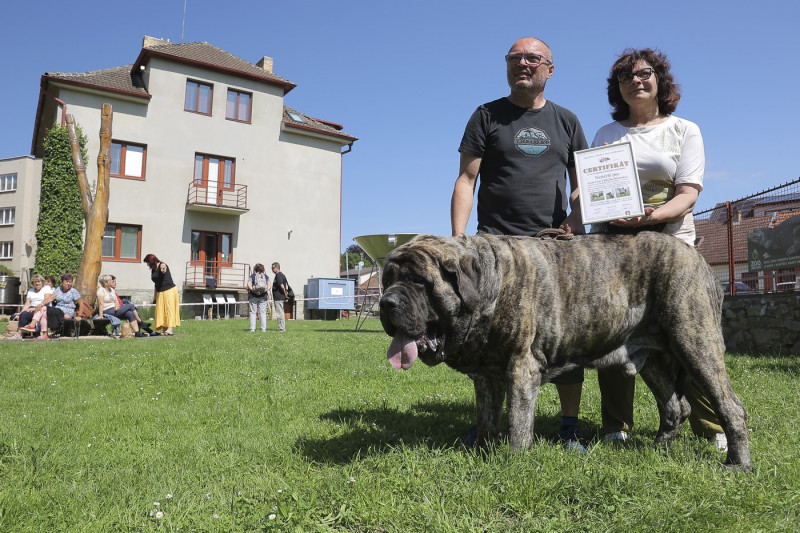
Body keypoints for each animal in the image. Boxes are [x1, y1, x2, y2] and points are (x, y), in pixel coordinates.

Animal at [378, 233, 752, 470]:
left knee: (731, 407)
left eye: (420, 282)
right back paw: (659, 448)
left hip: (695, 343)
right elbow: (486, 419)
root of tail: (700, 258)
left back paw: (737, 464)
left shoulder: (521, 368)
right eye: (387, 280)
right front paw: (482, 453)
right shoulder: (486, 376)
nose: (385, 302)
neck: (488, 288)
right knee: (676, 406)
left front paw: (513, 463)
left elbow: (517, 423)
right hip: (655, 360)